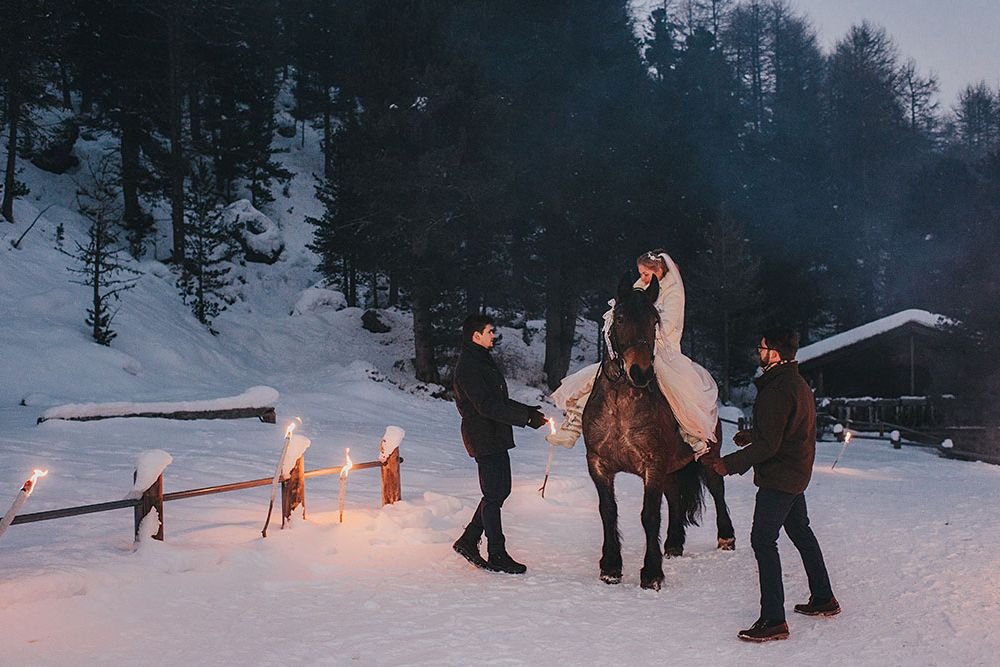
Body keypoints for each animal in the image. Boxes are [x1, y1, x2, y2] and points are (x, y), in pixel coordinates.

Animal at [584, 272, 736, 588]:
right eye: (620, 318)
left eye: (655, 321)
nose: (640, 372)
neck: (620, 405)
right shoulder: (599, 465)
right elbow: (608, 511)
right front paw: (611, 566)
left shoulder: (652, 466)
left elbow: (650, 515)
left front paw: (651, 573)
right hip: (671, 468)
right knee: (675, 497)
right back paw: (674, 543)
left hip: (706, 456)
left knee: (717, 488)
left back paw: (726, 537)